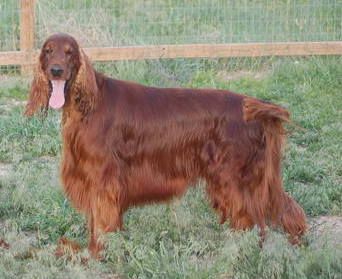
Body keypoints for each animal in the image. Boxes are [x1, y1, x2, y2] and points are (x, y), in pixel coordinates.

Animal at [24, 34, 308, 260]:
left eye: (69, 52)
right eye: (48, 50)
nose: (56, 70)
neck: (87, 106)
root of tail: (254, 107)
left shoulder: (103, 180)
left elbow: (103, 223)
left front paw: (98, 255)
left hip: (233, 178)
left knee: (251, 221)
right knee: (280, 208)